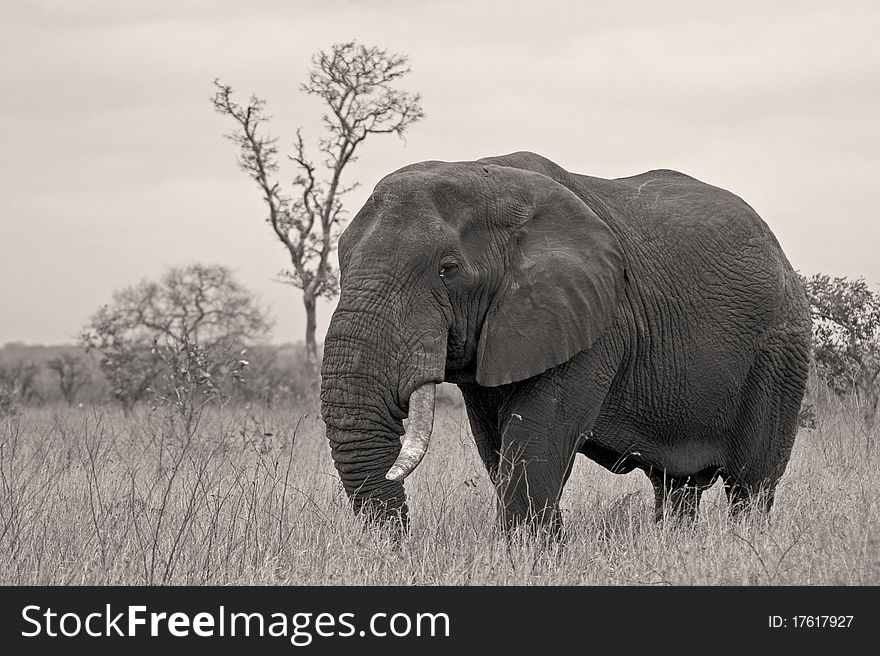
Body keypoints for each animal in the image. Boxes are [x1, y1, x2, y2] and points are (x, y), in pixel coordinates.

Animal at [318, 151, 812, 536]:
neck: (487, 175)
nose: (404, 544)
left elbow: (536, 436)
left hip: (781, 353)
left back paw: (744, 546)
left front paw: (534, 554)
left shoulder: (593, 319)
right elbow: (497, 445)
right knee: (676, 484)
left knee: (752, 483)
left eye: (448, 269)